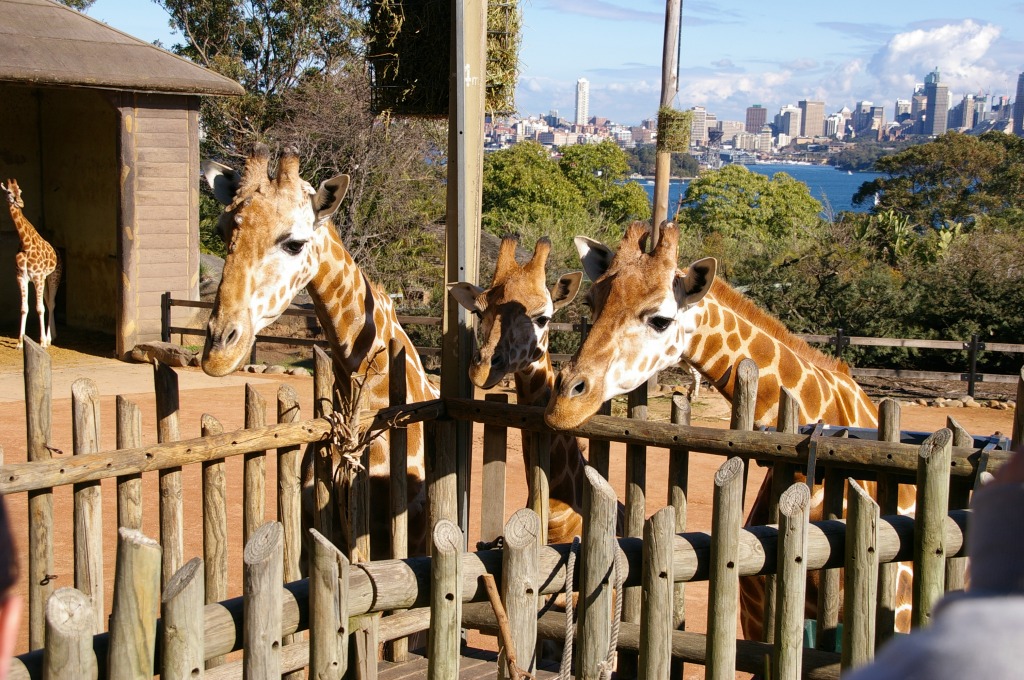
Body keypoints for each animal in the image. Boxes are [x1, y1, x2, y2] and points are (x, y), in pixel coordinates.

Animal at [2, 178, 61, 348]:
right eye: (8, 191)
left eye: (20, 190)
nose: (20, 202)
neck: (26, 244)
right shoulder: (22, 277)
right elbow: (24, 308)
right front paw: (20, 342)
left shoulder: (37, 277)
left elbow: (39, 308)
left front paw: (41, 341)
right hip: (45, 279)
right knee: (48, 302)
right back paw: (52, 336)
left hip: (53, 277)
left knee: (51, 303)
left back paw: (48, 338)